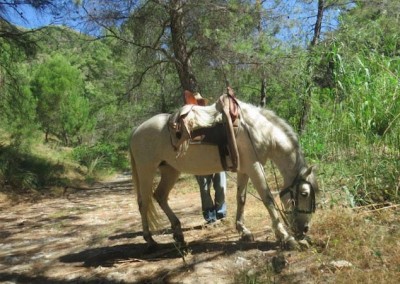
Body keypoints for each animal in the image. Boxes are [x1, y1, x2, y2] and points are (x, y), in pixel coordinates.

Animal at [129, 97, 318, 248]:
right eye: (304, 193)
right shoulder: (255, 167)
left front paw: (243, 230)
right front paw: (285, 237)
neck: (258, 131)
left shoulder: (245, 169)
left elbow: (241, 198)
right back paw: (150, 239)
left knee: (160, 196)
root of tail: (136, 130)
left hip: (170, 170)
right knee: (143, 203)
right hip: (146, 170)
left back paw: (178, 234)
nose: (304, 229)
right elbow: (268, 199)